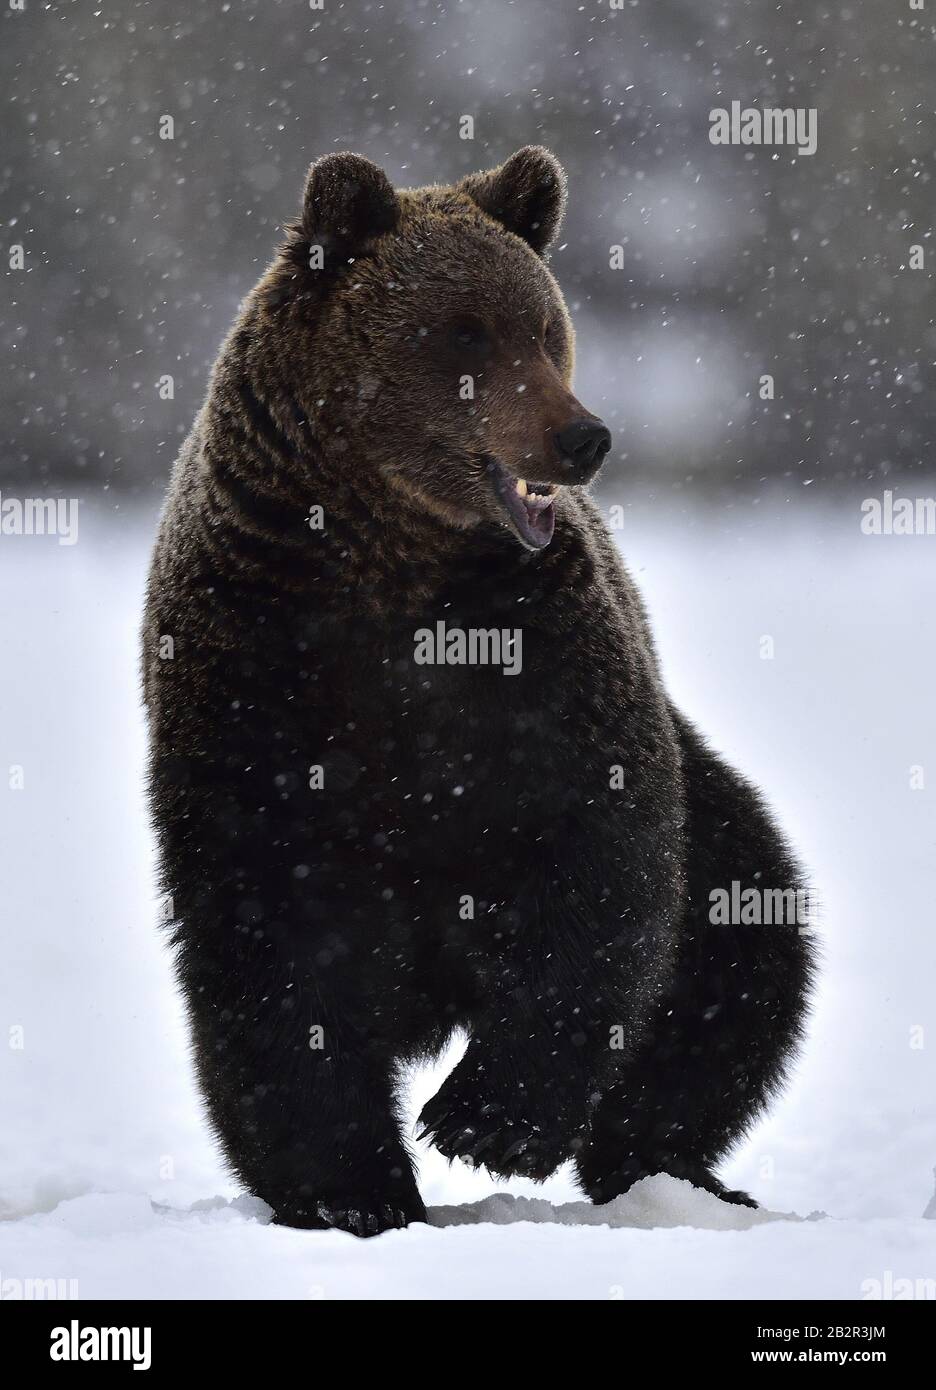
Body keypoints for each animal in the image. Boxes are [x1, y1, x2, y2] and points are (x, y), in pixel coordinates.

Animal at [142, 149, 812, 1239]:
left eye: (544, 327)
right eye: (464, 332)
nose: (582, 435)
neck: (389, 562)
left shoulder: (542, 663)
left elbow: (598, 865)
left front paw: (484, 1119)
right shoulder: (255, 675)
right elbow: (274, 943)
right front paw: (351, 1184)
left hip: (719, 816)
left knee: (742, 955)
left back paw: (673, 1172)